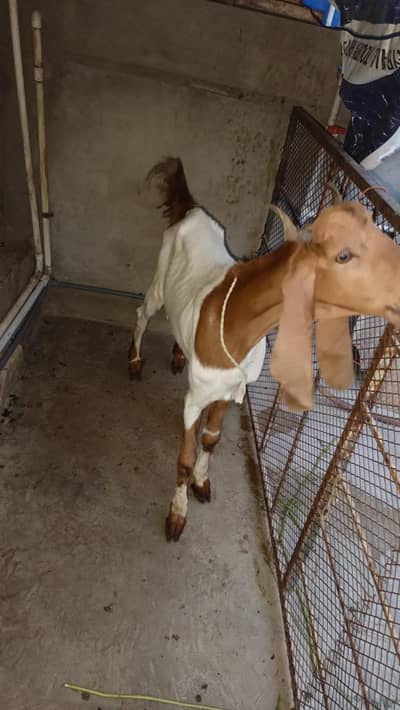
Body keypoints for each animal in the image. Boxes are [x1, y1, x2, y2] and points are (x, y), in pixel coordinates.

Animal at [129, 157, 400, 541]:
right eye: (343, 255)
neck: (235, 323)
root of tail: (192, 209)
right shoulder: (196, 398)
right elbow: (183, 458)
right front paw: (177, 516)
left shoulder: (231, 389)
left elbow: (210, 438)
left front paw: (202, 483)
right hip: (159, 277)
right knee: (145, 311)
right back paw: (135, 362)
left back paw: (179, 355)